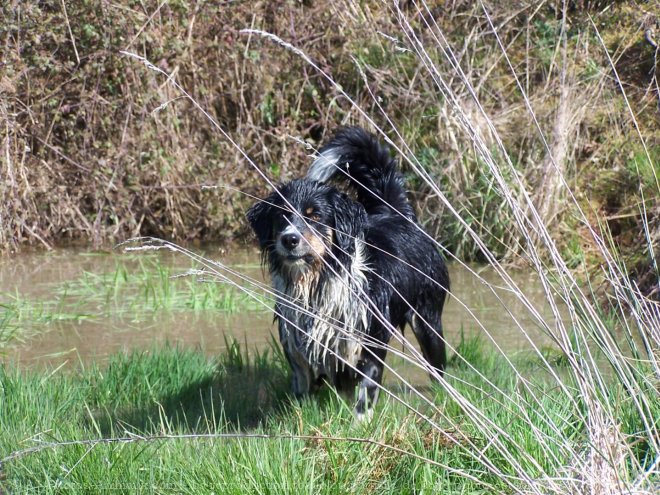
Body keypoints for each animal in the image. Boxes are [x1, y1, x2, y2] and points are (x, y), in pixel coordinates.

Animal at [248, 127, 448, 418]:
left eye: (315, 216)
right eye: (282, 216)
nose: (290, 239)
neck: (319, 283)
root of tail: (398, 214)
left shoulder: (369, 345)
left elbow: (365, 396)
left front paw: (360, 423)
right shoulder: (299, 350)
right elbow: (304, 396)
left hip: (427, 321)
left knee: (438, 369)